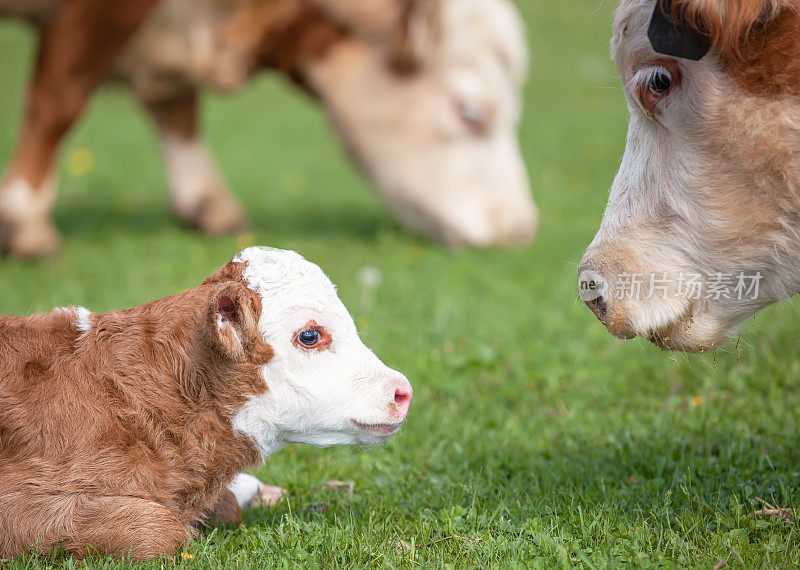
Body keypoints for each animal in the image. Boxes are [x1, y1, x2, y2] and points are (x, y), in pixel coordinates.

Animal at [0, 0, 536, 255]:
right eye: (471, 111)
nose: (521, 228)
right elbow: (60, 95)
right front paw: (25, 221)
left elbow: (176, 105)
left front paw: (208, 202)